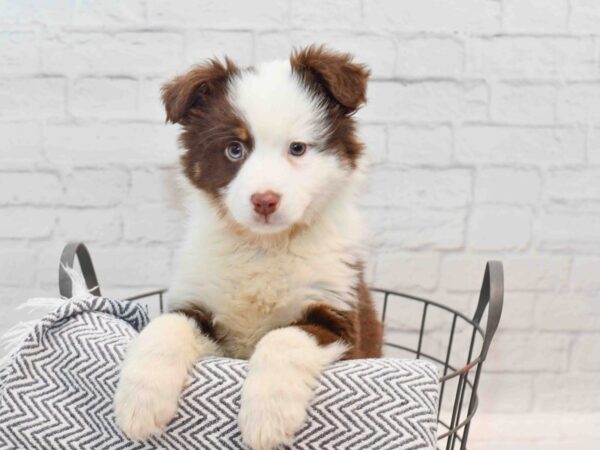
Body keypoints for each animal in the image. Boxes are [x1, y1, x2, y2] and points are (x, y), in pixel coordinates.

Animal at [113, 46, 384, 450]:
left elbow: (282, 337)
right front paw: (139, 402)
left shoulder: (339, 317)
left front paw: (267, 418)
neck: (263, 247)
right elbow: (166, 326)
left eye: (297, 148)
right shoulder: (201, 303)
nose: (265, 200)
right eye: (234, 149)